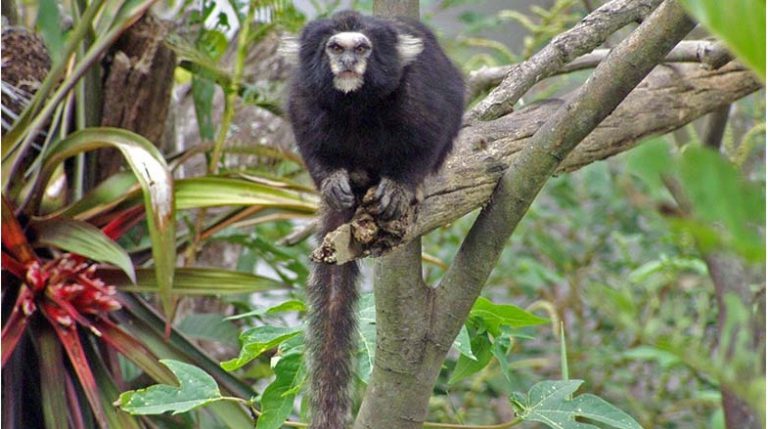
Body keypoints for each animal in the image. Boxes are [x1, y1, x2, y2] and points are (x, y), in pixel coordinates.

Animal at [283, 10, 464, 429]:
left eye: (362, 48)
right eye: (335, 47)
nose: (349, 60)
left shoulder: (420, 87)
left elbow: (430, 127)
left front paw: (401, 186)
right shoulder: (303, 92)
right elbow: (307, 130)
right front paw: (332, 179)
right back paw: (353, 177)